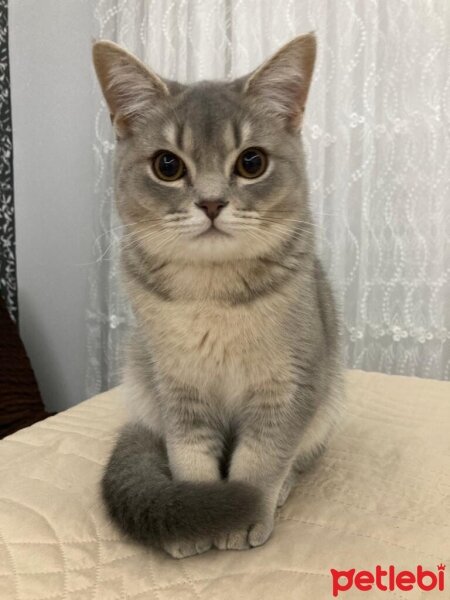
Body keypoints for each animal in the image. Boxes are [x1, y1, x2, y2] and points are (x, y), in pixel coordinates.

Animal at [93, 31, 342, 556]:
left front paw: (245, 513)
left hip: (328, 406)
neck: (212, 295)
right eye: (167, 165)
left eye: (252, 162)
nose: (210, 203)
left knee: (301, 459)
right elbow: (188, 453)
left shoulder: (288, 386)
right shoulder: (178, 385)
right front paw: (196, 515)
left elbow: (262, 461)